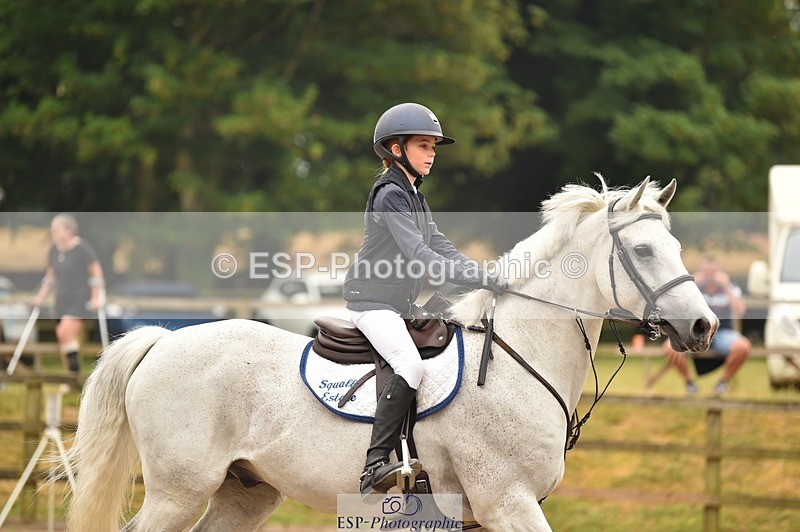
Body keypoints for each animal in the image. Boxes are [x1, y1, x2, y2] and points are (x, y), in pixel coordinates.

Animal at [66, 177, 717, 531]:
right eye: (642, 249)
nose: (704, 326)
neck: (516, 361)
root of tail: (165, 340)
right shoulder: (508, 502)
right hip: (179, 490)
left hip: (244, 492)